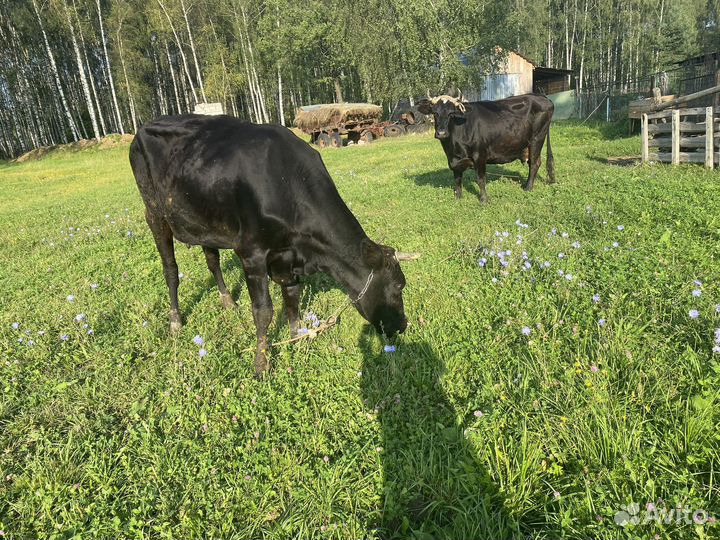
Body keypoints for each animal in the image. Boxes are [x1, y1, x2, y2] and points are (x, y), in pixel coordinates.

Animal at [129, 114, 411, 376]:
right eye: (399, 285)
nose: (403, 325)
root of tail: (145, 126)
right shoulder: (251, 252)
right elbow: (264, 311)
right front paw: (261, 363)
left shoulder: (288, 257)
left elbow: (292, 297)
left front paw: (296, 337)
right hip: (154, 212)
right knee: (170, 269)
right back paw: (175, 320)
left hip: (204, 219)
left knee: (212, 259)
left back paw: (227, 300)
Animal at [417, 94, 556, 201]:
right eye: (435, 113)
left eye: (451, 113)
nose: (441, 133)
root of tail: (541, 96)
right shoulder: (453, 158)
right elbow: (457, 178)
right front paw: (458, 198)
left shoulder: (480, 155)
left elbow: (481, 179)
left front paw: (484, 200)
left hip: (537, 138)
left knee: (534, 163)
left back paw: (528, 188)